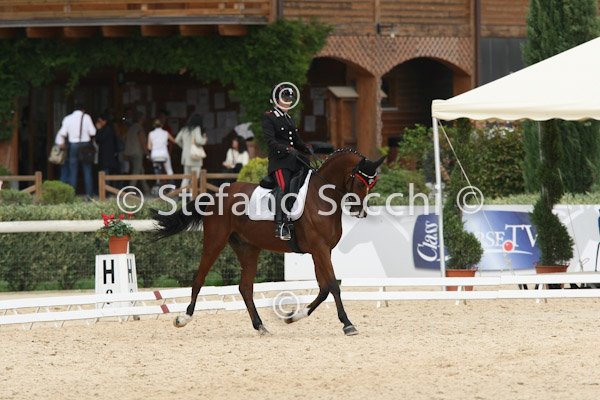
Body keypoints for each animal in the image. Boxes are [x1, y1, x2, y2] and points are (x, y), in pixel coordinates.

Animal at [153, 148, 385, 336]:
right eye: (359, 181)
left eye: (372, 183)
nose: (359, 212)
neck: (321, 197)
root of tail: (216, 195)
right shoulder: (319, 249)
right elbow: (333, 287)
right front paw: (348, 324)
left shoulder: (321, 251)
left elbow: (325, 288)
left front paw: (293, 317)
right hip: (215, 241)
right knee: (199, 279)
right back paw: (183, 318)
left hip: (248, 248)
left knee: (245, 288)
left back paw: (260, 326)